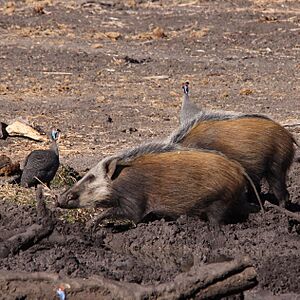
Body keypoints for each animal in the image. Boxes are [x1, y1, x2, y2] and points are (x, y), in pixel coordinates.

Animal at [58, 143, 260, 225]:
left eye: (91, 177)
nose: (59, 199)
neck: (119, 183)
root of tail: (239, 169)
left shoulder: (135, 201)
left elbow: (128, 215)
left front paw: (89, 225)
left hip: (220, 202)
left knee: (217, 221)